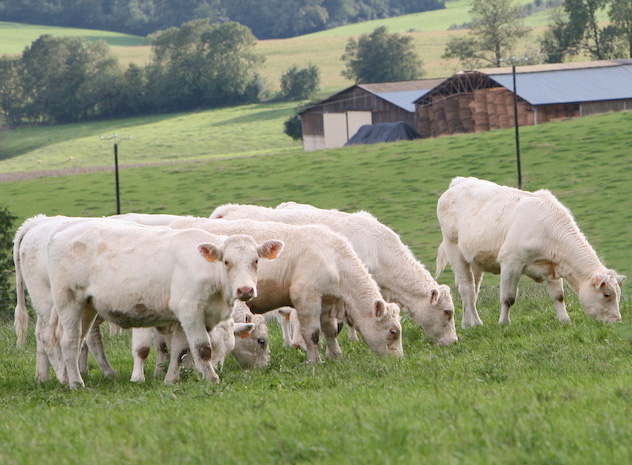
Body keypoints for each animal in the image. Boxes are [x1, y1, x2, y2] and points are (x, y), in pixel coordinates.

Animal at [44, 219, 283, 388]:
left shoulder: (189, 317)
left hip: (87, 307)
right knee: (69, 340)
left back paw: (67, 378)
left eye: (256, 261)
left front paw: (171, 379)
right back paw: (76, 383)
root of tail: (60, 234)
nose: (245, 290)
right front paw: (212, 378)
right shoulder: (190, 311)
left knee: (78, 340)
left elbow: (179, 349)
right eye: (226, 261)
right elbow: (201, 348)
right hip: (69, 302)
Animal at [113, 213, 404, 364]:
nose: (399, 358)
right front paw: (315, 361)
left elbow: (330, 330)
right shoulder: (306, 297)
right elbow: (312, 334)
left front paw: (335, 356)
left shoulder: (327, 300)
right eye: (393, 331)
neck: (332, 256)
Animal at [435, 176, 625, 328]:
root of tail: (459, 182)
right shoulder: (511, 262)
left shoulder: (552, 266)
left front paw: (564, 320)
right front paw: (504, 323)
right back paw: (476, 323)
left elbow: (558, 296)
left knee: (472, 289)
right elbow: (508, 298)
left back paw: (467, 323)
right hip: (453, 248)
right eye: (607, 294)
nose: (617, 320)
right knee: (467, 288)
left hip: (474, 259)